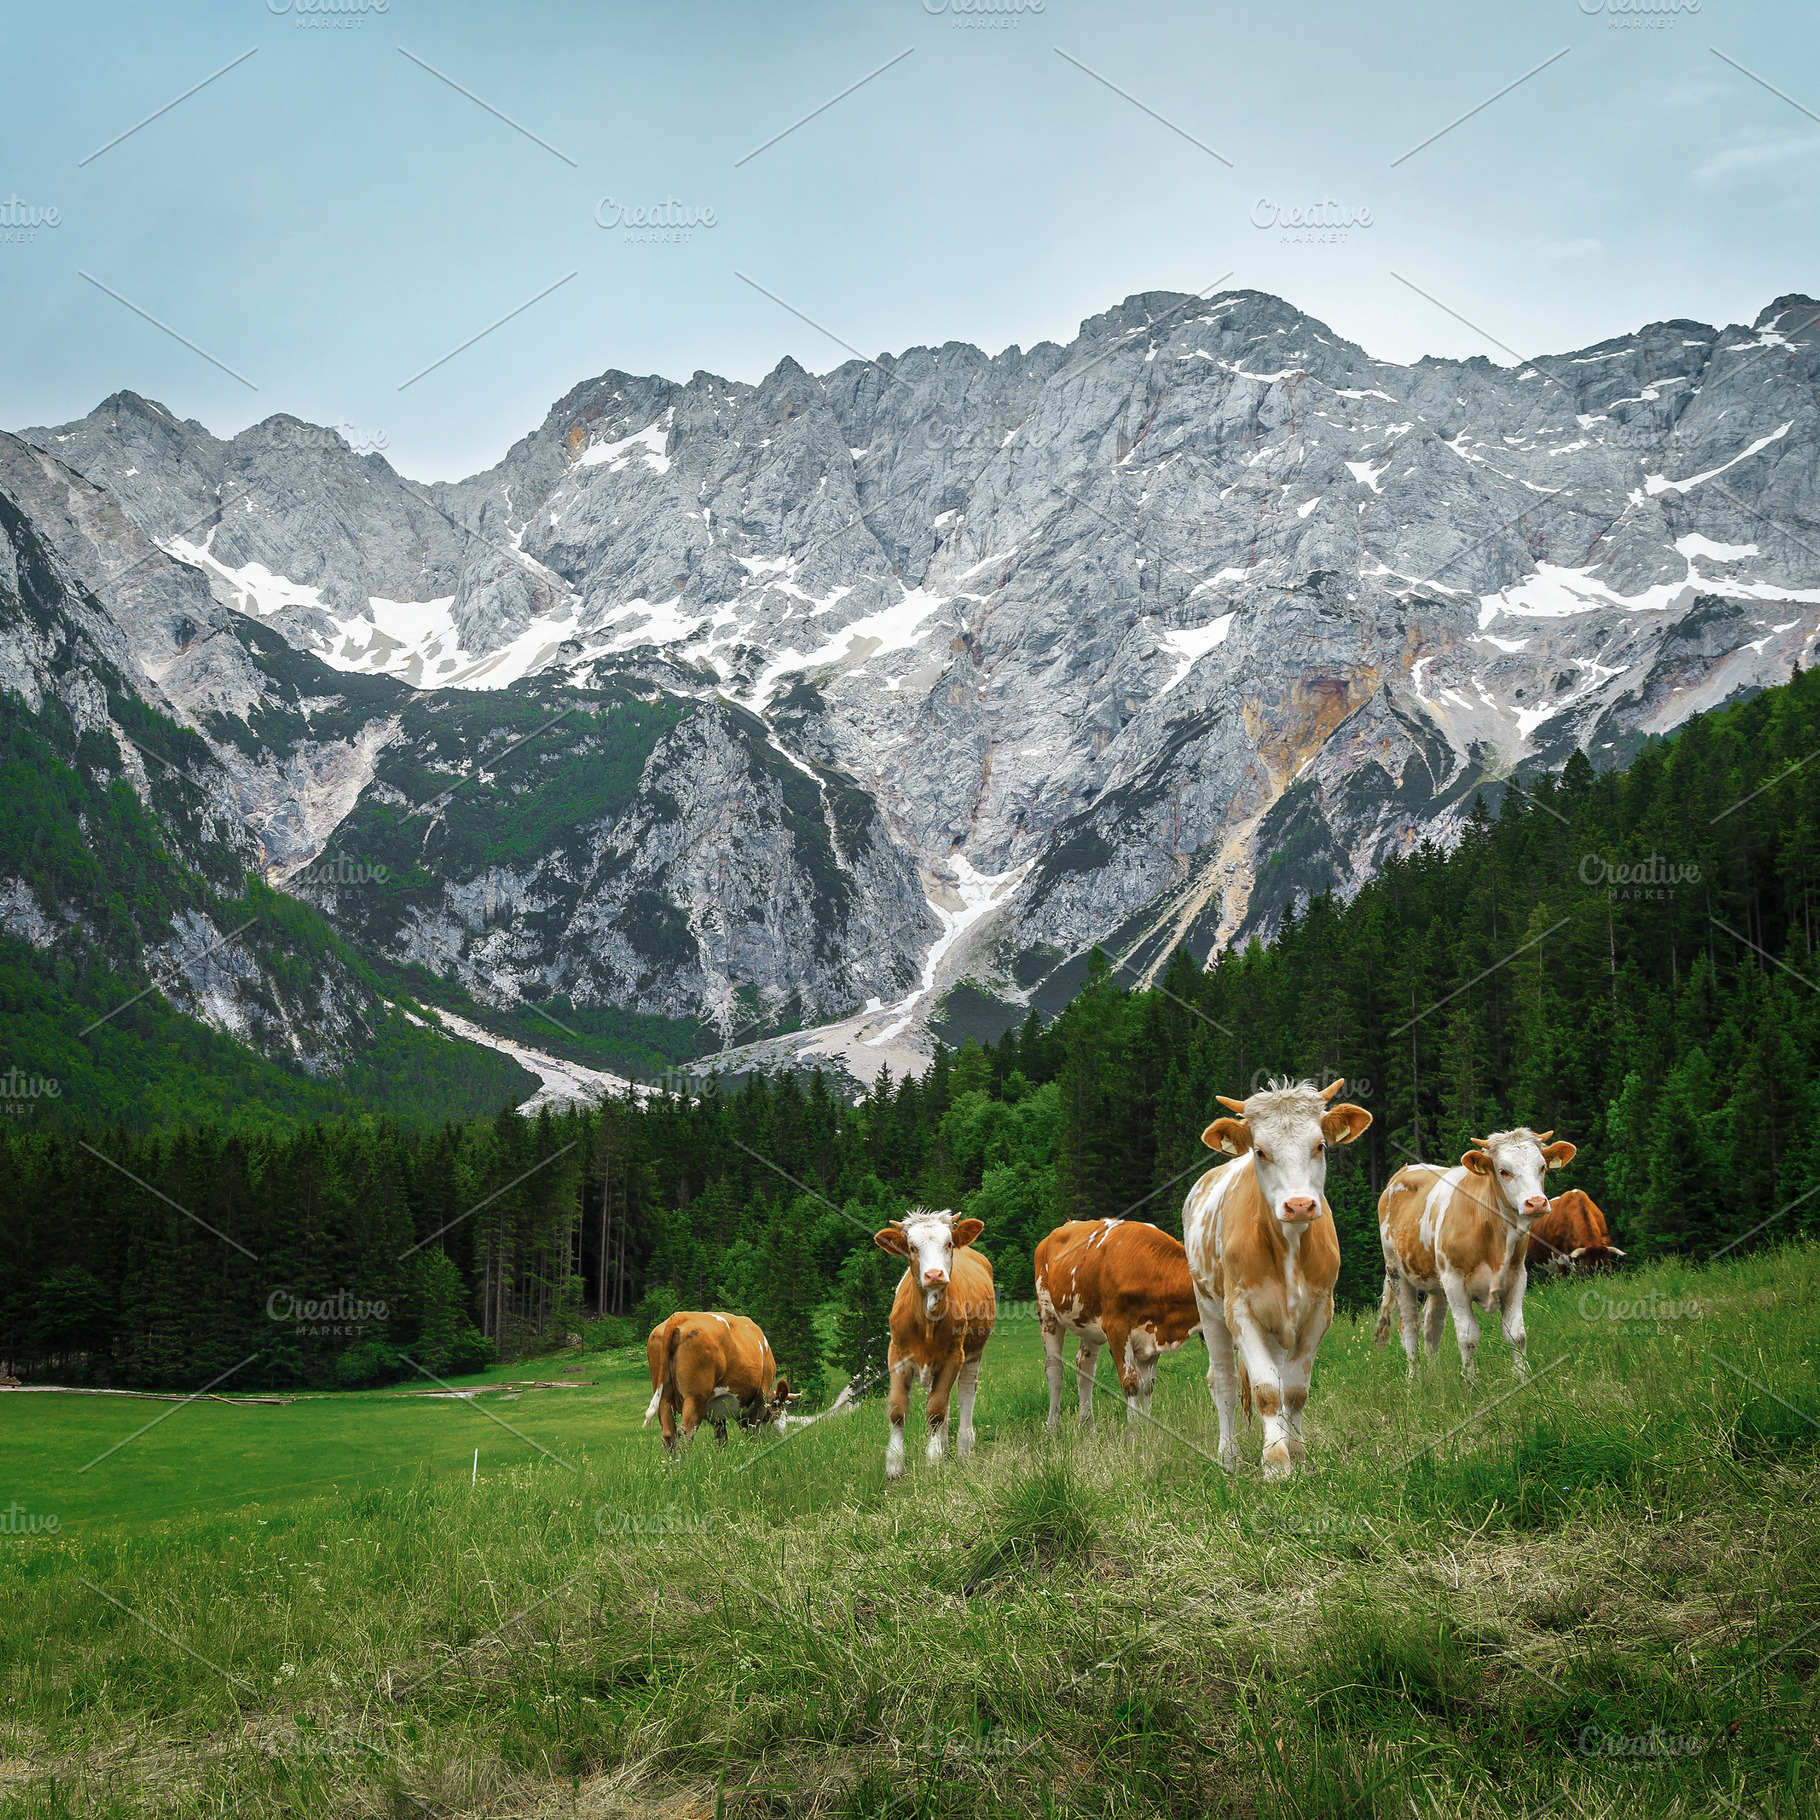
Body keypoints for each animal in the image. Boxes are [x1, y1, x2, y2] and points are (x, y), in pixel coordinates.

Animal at [641, 1311, 795, 1451]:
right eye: (784, 1413)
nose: (782, 1438)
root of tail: (680, 1316)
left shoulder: (716, 1412)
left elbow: (721, 1438)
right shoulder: (761, 1397)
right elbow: (752, 1433)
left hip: (664, 1398)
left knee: (669, 1435)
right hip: (695, 1397)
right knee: (685, 1433)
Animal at [874, 1207, 996, 1480]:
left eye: (948, 1243)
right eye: (912, 1247)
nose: (934, 1275)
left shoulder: (953, 1356)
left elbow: (936, 1410)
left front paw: (933, 1460)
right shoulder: (896, 1354)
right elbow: (897, 1410)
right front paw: (894, 1464)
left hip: (973, 1353)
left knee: (964, 1393)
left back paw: (963, 1447)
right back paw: (946, 1445)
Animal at [1035, 1218, 1200, 1428]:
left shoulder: (1152, 1336)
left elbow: (1147, 1385)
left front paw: (1147, 1429)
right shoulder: (1117, 1329)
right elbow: (1131, 1383)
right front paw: (1134, 1431)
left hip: (1089, 1325)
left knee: (1085, 1368)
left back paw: (1087, 1426)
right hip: (1047, 1314)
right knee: (1054, 1370)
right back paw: (1053, 1427)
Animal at [1181, 1078, 1373, 1480]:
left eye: (1320, 1145)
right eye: (1260, 1151)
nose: (1299, 1205)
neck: (1289, 1246)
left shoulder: (1319, 1312)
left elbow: (1294, 1390)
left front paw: (1297, 1454)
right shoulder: (1241, 1311)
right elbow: (1266, 1389)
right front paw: (1274, 1462)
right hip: (1208, 1308)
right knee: (1224, 1381)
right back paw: (1230, 1457)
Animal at [1374, 1129, 1579, 1379]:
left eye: (1542, 1167)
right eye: (1503, 1171)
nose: (1537, 1203)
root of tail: (1403, 1171)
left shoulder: (1517, 1277)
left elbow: (1517, 1335)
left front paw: (1523, 1378)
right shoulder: (1454, 1282)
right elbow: (1468, 1338)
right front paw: (1470, 1383)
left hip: (1436, 1282)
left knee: (1432, 1325)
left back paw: (1435, 1377)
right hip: (1397, 1273)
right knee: (1409, 1327)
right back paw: (1415, 1381)